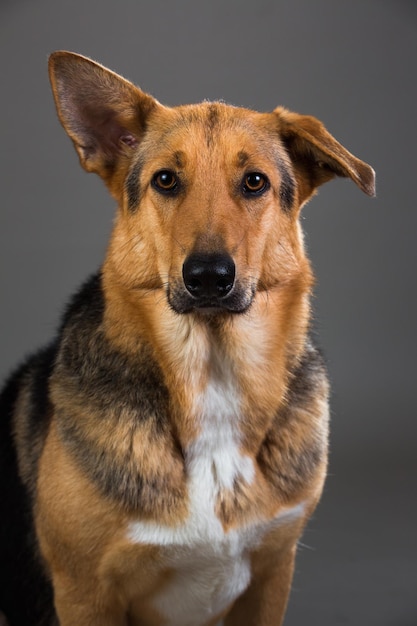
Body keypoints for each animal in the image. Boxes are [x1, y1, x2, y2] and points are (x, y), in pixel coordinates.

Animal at [0, 51, 376, 620]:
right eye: (166, 180)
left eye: (255, 182)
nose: (208, 277)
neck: (213, 373)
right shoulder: (85, 593)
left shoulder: (273, 574)